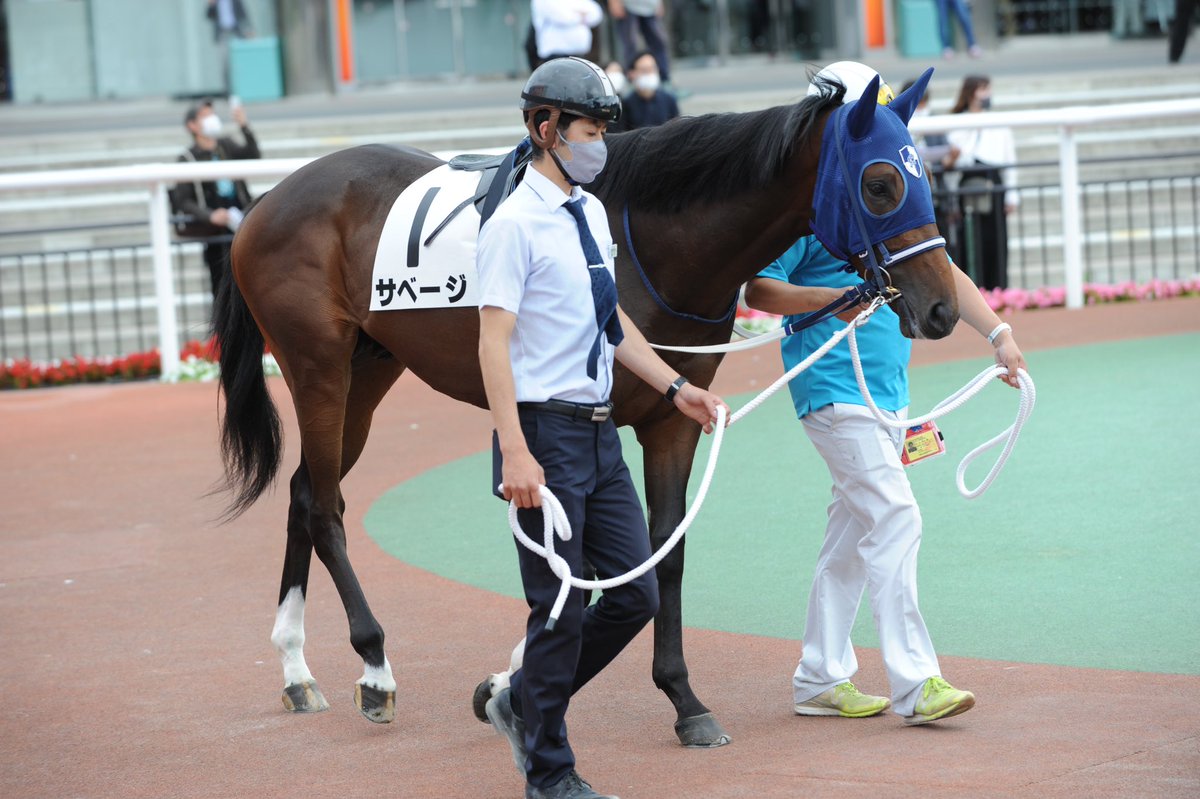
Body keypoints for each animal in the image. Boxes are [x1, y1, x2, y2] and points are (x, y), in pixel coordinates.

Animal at [214, 68, 958, 749]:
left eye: (923, 179)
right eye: (881, 183)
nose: (944, 308)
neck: (649, 241)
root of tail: (267, 200)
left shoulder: (671, 420)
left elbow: (662, 554)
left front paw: (680, 698)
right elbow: (591, 565)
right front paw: (524, 679)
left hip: (370, 369)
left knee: (305, 490)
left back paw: (295, 667)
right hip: (318, 367)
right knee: (325, 506)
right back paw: (374, 666)